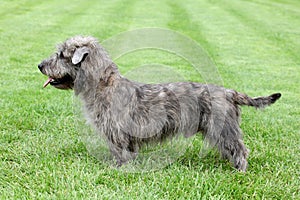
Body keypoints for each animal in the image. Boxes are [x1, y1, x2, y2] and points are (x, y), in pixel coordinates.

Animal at [38, 35, 282, 171]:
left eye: (61, 55)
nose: (40, 65)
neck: (103, 85)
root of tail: (228, 92)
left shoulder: (117, 132)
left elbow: (120, 152)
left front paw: (119, 169)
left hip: (222, 128)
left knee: (240, 148)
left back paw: (240, 170)